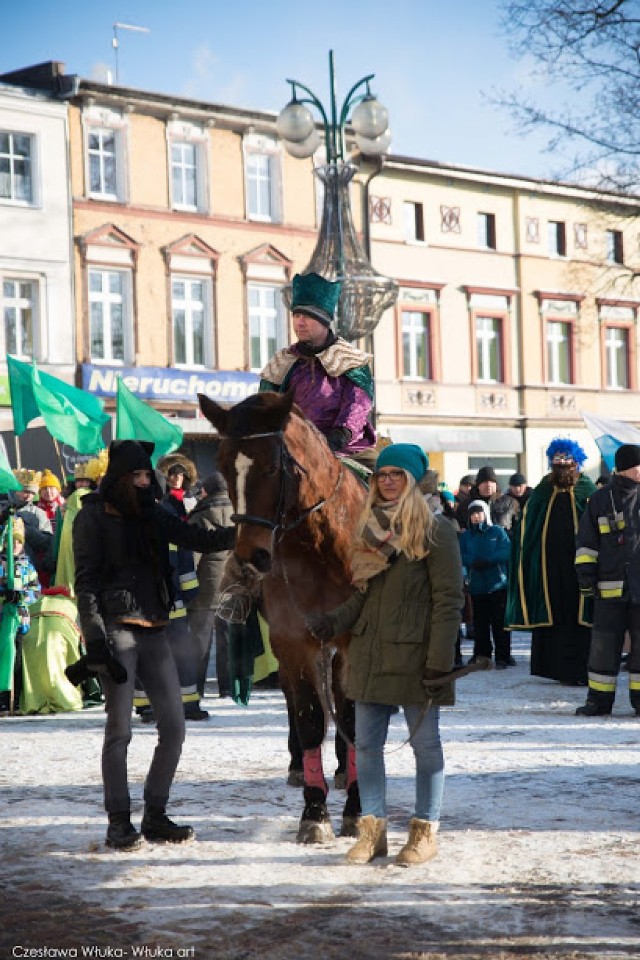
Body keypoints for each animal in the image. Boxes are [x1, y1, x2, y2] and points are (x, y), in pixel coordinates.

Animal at [200, 388, 368, 840]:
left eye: (273, 466)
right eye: (224, 466)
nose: (251, 557)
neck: (321, 547)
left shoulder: (353, 643)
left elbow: (353, 717)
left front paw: (355, 809)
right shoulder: (293, 641)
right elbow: (309, 718)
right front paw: (315, 813)